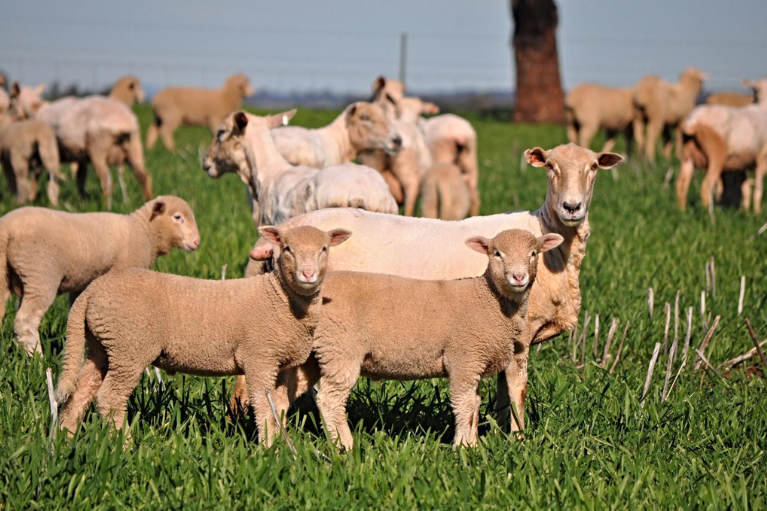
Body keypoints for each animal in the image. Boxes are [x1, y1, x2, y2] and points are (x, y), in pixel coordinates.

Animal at [0, 196, 200, 356]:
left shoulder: (83, 284)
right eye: (178, 217)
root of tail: (7, 226)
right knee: (26, 321)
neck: (144, 231)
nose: (197, 242)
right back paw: (37, 359)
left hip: (7, 275)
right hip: (41, 274)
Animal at [10, 84, 154, 209]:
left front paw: (41, 200)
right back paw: (148, 201)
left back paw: (104, 207)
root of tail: (125, 122)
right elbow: (80, 178)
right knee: (144, 176)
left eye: (11, 99)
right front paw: (82, 202)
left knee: (107, 182)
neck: (36, 111)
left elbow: (43, 174)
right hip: (134, 146)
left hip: (98, 147)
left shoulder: (48, 150)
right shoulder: (81, 156)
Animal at [56, 225, 351, 447]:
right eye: (287, 249)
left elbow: (277, 406)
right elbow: (263, 406)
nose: (308, 274)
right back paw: (124, 445)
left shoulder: (280, 364)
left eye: (324, 249)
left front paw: (279, 445)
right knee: (109, 397)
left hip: (102, 347)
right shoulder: (259, 358)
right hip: (129, 347)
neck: (278, 297)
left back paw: (65, 439)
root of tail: (90, 292)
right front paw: (270, 449)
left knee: (80, 393)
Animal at [235, 144, 625, 432]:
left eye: (593, 167)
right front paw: (519, 441)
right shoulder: (521, 335)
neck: (551, 246)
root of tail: (284, 229)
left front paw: (501, 438)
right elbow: (518, 391)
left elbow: (504, 394)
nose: (572, 207)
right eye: (550, 167)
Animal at [677, 79, 767, 213]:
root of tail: (692, 122)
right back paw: (707, 213)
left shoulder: (742, 163)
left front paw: (745, 212)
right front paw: (756, 213)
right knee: (706, 187)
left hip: (688, 155)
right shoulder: (762, 158)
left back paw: (682, 211)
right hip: (716, 155)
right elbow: (758, 189)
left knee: (681, 184)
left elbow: (745, 188)